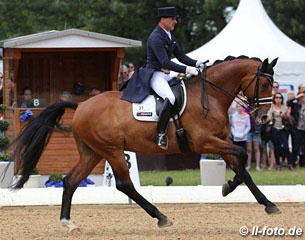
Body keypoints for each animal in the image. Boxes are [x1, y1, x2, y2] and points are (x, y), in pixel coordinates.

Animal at [11, 55, 278, 232]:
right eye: (265, 84)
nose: (265, 118)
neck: (211, 96)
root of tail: (81, 106)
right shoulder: (206, 143)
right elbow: (243, 155)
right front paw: (228, 187)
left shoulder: (220, 141)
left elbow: (244, 169)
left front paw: (268, 204)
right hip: (112, 150)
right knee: (124, 185)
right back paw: (160, 216)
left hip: (92, 153)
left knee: (71, 181)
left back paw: (68, 223)